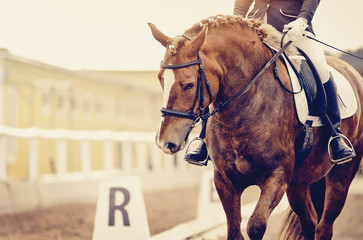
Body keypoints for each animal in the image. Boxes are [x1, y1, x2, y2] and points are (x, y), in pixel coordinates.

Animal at [149, 15, 363, 240]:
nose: (164, 142)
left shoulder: (276, 176)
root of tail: (352, 71)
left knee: (324, 227)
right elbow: (235, 231)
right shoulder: (225, 180)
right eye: (160, 79)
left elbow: (255, 225)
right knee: (310, 222)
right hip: (299, 183)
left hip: (341, 174)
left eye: (189, 85)